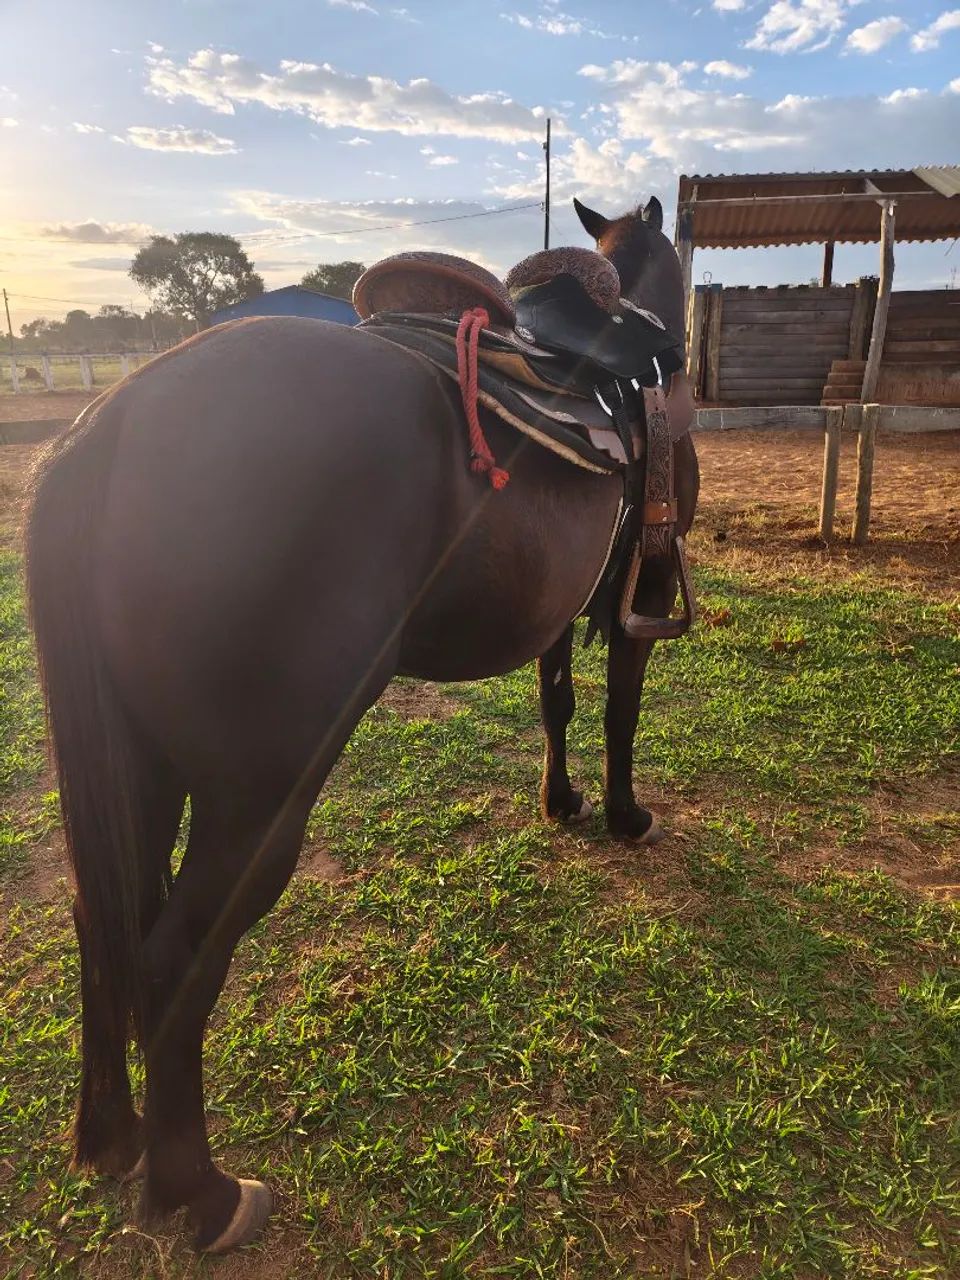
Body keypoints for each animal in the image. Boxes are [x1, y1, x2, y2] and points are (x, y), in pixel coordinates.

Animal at [24, 195, 699, 1253]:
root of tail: (113, 421)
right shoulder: (644, 595)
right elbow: (621, 712)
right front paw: (627, 814)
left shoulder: (560, 611)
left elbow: (558, 703)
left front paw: (563, 802)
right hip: (260, 799)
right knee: (173, 958)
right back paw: (202, 1195)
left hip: (140, 770)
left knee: (103, 923)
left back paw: (110, 1138)